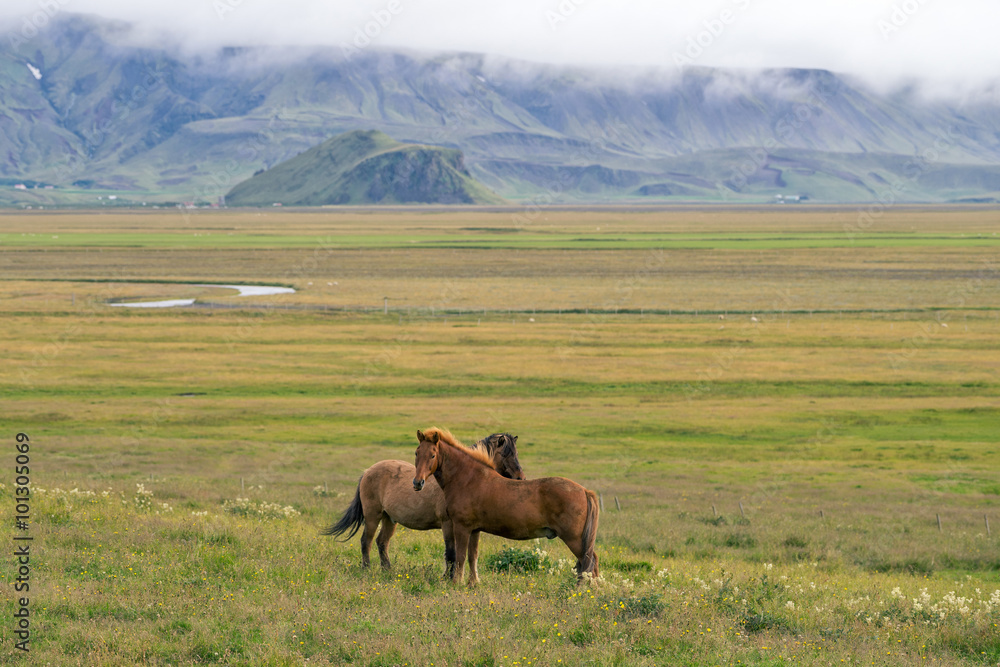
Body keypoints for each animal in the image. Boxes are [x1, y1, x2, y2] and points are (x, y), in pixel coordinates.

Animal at [323, 432, 523, 573]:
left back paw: (387, 570)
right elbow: (451, 553)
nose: (520, 478)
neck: (458, 478)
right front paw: (447, 577)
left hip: (389, 519)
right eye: (505, 454)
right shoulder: (448, 524)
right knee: (367, 541)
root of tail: (367, 471)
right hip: (373, 516)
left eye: (516, 453)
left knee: (382, 542)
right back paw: (367, 569)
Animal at [412, 427, 599, 586]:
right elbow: (472, 556)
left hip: (575, 540)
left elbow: (460, 557)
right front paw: (473, 583)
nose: (417, 483)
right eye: (417, 453)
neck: (468, 478)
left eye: (433, 455)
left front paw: (456, 584)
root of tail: (585, 491)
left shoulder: (462, 527)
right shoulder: (474, 530)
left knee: (590, 561)